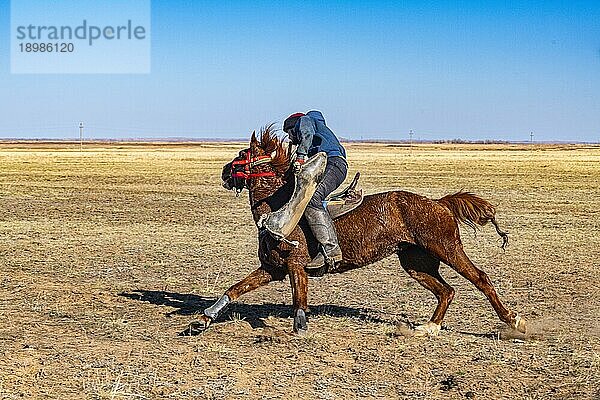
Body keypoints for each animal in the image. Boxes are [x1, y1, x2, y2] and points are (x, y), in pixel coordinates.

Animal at [192, 124, 524, 334]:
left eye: (242, 155)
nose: (224, 172)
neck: (279, 207)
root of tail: (438, 203)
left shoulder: (295, 266)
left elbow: (299, 299)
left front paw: (300, 327)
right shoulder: (271, 269)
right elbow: (235, 289)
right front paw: (203, 320)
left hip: (447, 248)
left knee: (480, 279)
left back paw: (513, 321)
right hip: (415, 261)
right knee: (446, 291)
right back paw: (428, 327)